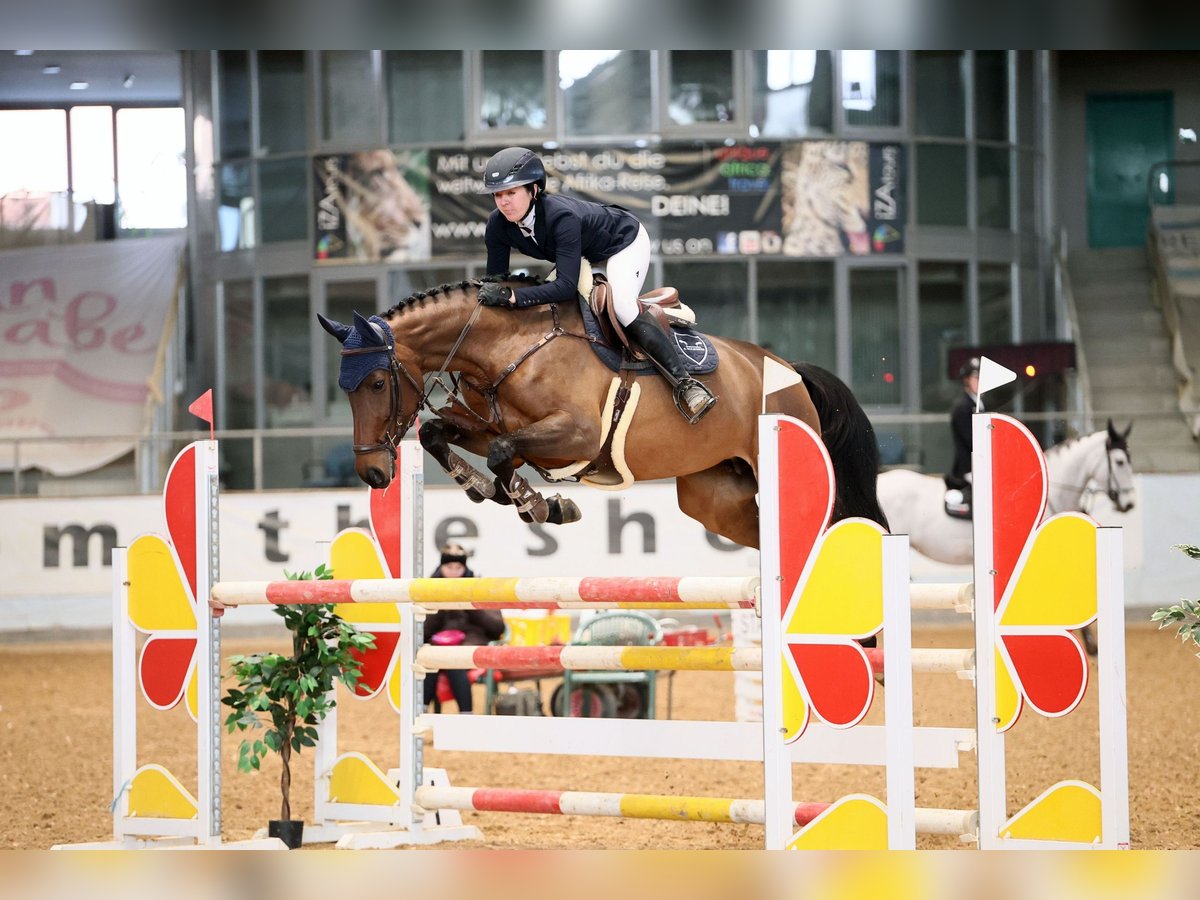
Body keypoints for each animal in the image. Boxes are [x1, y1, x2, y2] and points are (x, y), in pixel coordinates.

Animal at [314, 271, 888, 549]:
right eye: (345, 390)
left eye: (377, 382)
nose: (372, 472)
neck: (505, 345)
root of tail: (787, 368)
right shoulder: (490, 425)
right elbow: (443, 435)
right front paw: (495, 491)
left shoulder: (579, 435)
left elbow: (503, 453)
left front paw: (536, 504)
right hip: (716, 496)